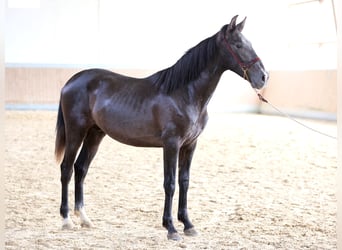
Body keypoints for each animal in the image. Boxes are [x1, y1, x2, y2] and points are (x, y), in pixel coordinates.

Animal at [54, 15, 268, 240]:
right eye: (238, 45)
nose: (263, 77)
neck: (185, 93)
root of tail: (72, 81)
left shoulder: (190, 145)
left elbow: (184, 182)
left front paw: (188, 225)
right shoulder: (171, 144)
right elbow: (170, 184)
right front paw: (171, 228)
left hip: (95, 134)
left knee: (81, 168)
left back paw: (84, 218)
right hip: (76, 131)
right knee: (66, 168)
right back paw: (66, 220)